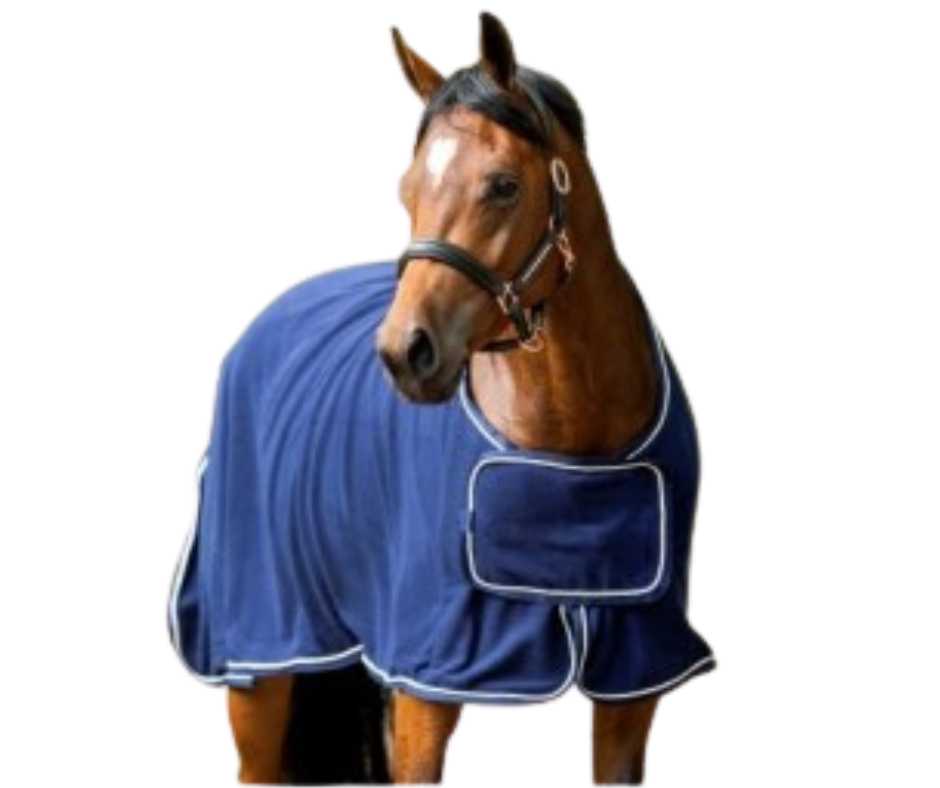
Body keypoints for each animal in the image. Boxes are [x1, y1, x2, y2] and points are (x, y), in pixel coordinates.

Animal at [169, 12, 714, 784]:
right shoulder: (428, 673)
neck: (570, 439)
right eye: (408, 189)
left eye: (504, 185)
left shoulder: (634, 676)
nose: (406, 354)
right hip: (261, 649)